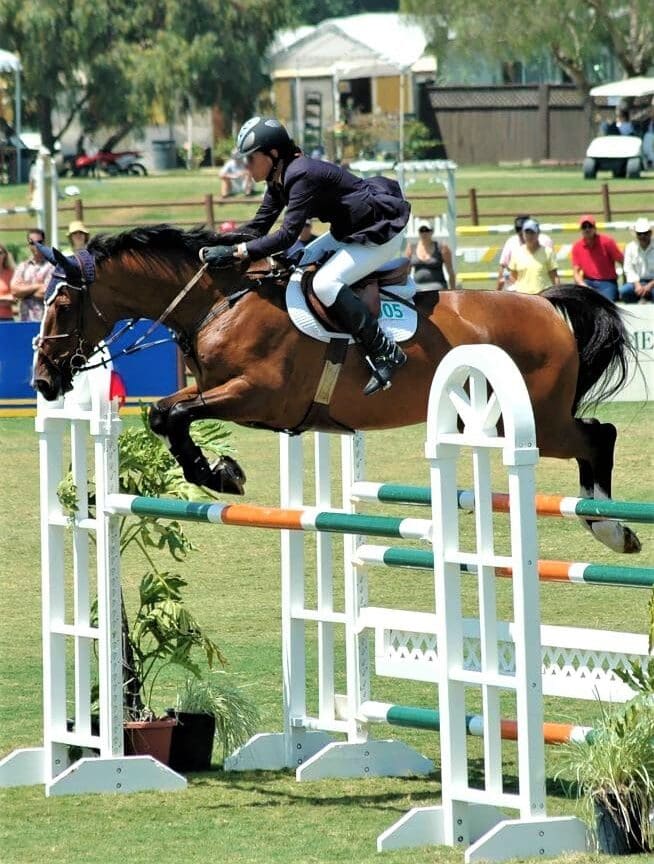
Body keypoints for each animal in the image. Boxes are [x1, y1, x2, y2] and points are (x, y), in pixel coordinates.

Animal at [33, 223, 644, 556]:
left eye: (60, 302)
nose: (42, 379)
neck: (220, 303)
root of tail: (544, 305)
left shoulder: (256, 394)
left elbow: (169, 414)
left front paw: (220, 472)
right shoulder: (228, 395)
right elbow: (167, 415)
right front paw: (217, 470)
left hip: (531, 419)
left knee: (599, 435)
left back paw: (611, 530)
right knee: (596, 435)